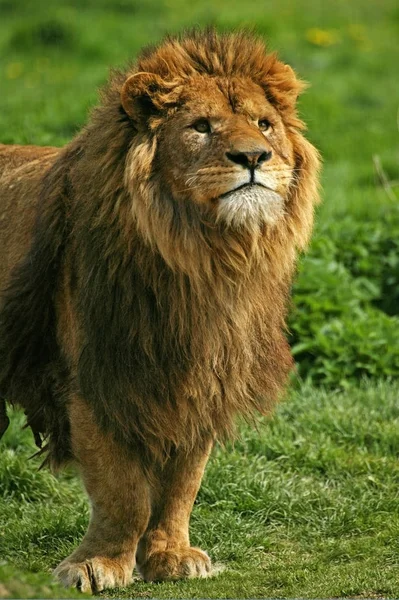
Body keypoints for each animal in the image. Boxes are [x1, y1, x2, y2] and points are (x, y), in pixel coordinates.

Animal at [0, 30, 320, 592]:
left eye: (264, 123)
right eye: (201, 126)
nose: (255, 156)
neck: (203, 262)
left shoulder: (201, 380)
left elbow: (181, 485)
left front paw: (171, 556)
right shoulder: (97, 378)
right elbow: (123, 490)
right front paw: (100, 564)